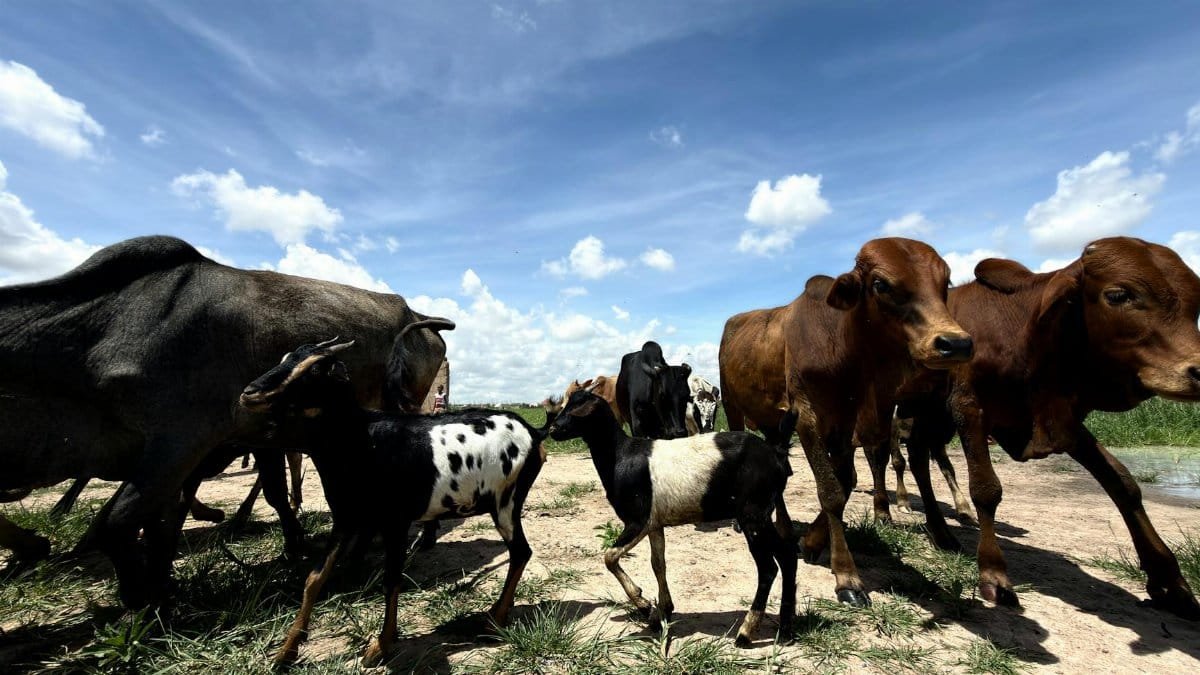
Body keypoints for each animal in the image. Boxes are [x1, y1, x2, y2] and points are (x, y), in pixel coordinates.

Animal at [0, 235, 453, 608]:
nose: (249, 394)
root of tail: (418, 316)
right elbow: (162, 521)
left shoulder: (181, 442)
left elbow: (117, 523)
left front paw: (140, 599)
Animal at [239, 339, 553, 666]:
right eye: (286, 358)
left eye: (315, 369)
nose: (250, 392)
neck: (361, 439)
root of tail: (534, 432)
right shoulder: (347, 517)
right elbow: (315, 578)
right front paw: (286, 651)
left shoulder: (395, 521)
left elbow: (391, 578)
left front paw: (381, 646)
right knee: (519, 552)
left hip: (507, 501)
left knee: (521, 551)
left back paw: (495, 619)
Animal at [549, 389, 798, 646]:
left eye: (577, 407)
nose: (553, 429)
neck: (621, 456)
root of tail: (776, 453)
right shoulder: (655, 524)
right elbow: (658, 564)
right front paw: (663, 612)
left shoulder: (639, 520)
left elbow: (609, 557)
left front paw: (644, 606)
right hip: (763, 513)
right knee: (788, 554)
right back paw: (785, 630)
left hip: (752, 514)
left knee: (768, 568)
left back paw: (746, 632)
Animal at [720, 237, 973, 606]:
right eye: (880, 284)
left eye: (946, 281)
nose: (955, 343)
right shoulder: (807, 418)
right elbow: (831, 492)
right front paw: (846, 577)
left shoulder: (844, 423)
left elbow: (846, 482)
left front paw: (812, 542)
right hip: (733, 407)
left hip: (773, 423)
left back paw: (783, 527)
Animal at [898, 237, 1200, 618]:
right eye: (1118, 295)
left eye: (1195, 304)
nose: (1198, 371)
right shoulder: (968, 407)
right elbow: (986, 489)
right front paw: (994, 574)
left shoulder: (1062, 421)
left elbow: (1122, 482)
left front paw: (1170, 582)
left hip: (929, 415)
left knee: (919, 456)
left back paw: (939, 530)